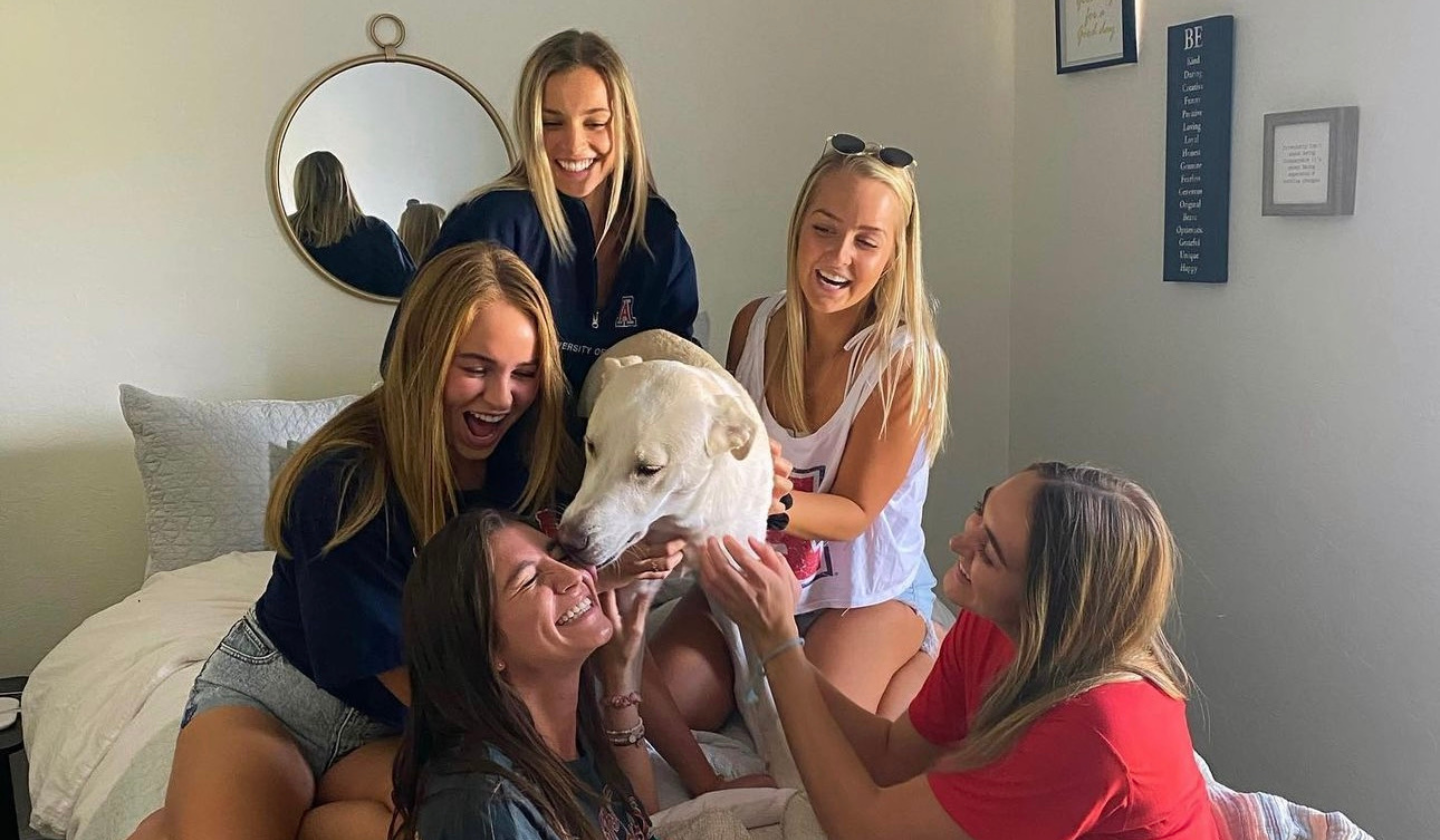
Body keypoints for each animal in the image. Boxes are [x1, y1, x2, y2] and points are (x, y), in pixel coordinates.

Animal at [558, 328, 806, 789]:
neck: (683, 522)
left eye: (648, 469)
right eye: (591, 445)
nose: (568, 541)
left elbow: (760, 688)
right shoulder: (634, 597)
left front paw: (787, 767)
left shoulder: (745, 592)